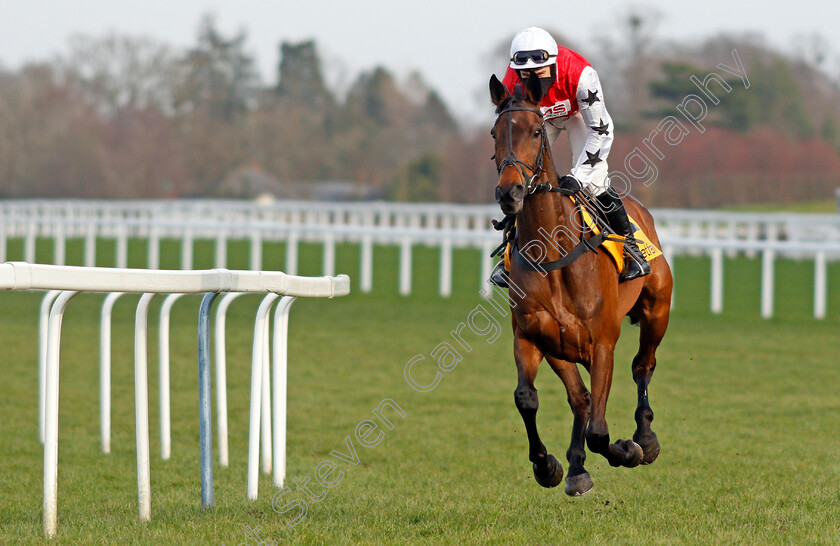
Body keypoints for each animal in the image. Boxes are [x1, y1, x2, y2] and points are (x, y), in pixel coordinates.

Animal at [488, 71, 672, 492]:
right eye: (494, 133)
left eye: (536, 131)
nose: (510, 192)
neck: (552, 254)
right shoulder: (534, 336)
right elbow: (528, 398)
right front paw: (549, 466)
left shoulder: (602, 343)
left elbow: (600, 432)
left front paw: (628, 450)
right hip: (564, 347)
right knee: (582, 398)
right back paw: (576, 467)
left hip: (657, 310)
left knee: (643, 365)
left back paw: (645, 438)